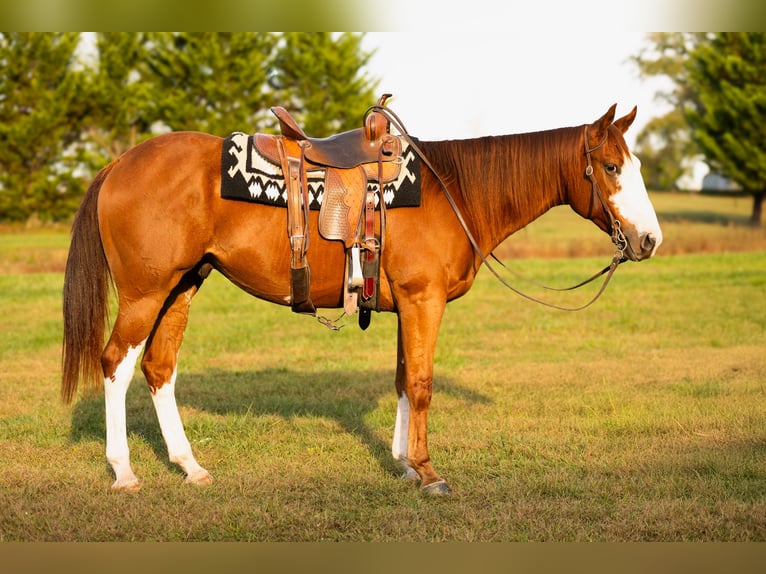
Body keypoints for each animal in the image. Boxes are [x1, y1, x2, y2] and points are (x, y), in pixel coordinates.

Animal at [61, 103, 662, 494]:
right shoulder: (424, 302)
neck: (454, 192)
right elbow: (421, 384)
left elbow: (402, 378)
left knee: (159, 368)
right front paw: (428, 473)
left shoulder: (408, 305)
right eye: (611, 167)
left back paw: (190, 466)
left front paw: (402, 464)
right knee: (115, 364)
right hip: (146, 293)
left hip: (183, 286)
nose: (650, 240)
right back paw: (124, 471)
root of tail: (120, 163)